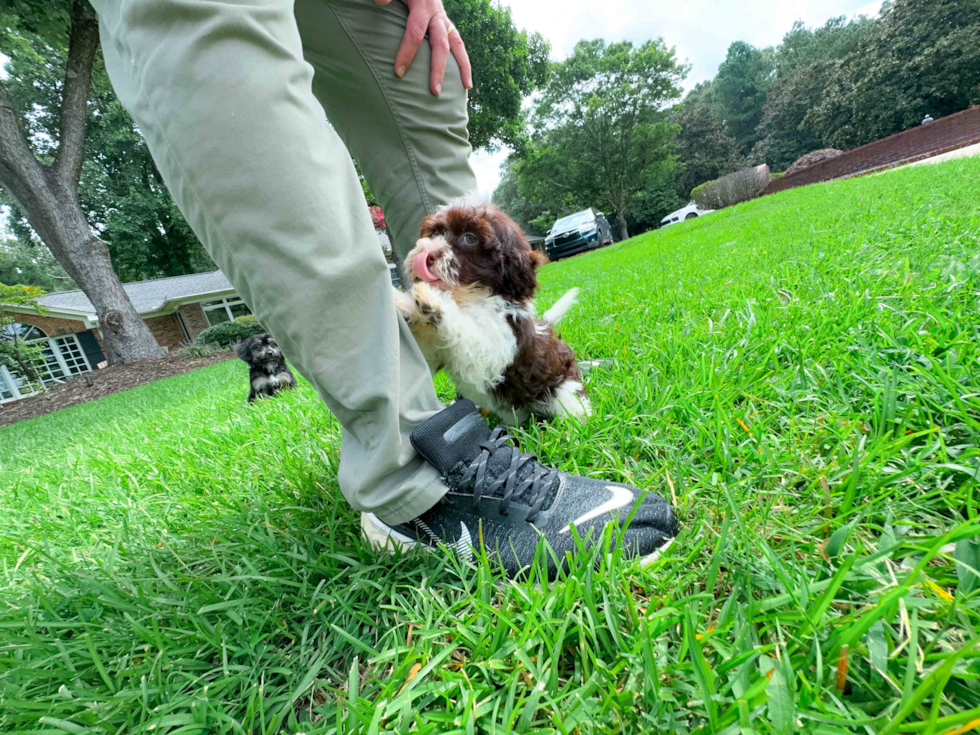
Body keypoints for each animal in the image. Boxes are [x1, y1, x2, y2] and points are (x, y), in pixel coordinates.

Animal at [392, 197, 588, 426]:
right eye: (435, 234)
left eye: (470, 238)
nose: (427, 254)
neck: (468, 298)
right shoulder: (436, 351)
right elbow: (426, 354)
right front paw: (403, 302)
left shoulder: (498, 346)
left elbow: (470, 335)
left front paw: (433, 300)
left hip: (562, 385)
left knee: (573, 404)